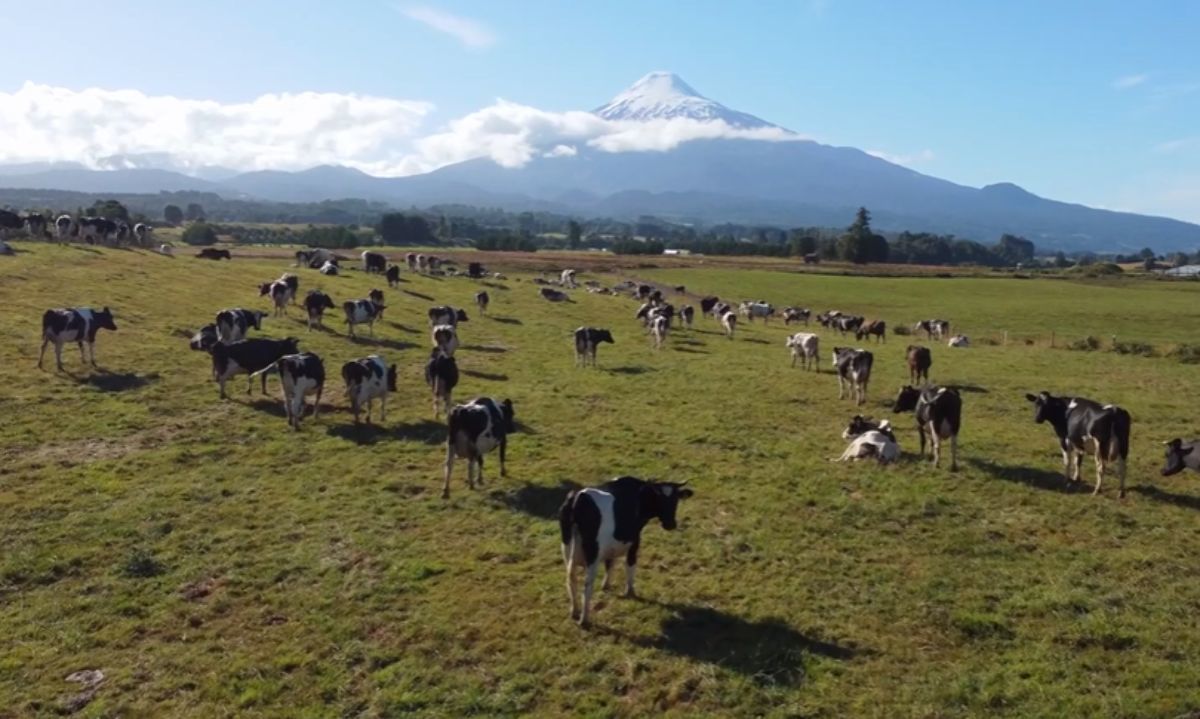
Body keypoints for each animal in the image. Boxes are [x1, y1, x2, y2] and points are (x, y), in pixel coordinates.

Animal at [559, 477, 696, 624]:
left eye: (675, 500)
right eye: (661, 500)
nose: (670, 525)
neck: (639, 495)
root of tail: (578, 497)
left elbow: (610, 563)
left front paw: (606, 585)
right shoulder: (634, 541)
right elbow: (630, 565)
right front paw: (630, 592)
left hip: (567, 549)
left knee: (571, 580)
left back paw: (574, 611)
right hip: (592, 555)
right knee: (587, 587)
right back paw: (584, 619)